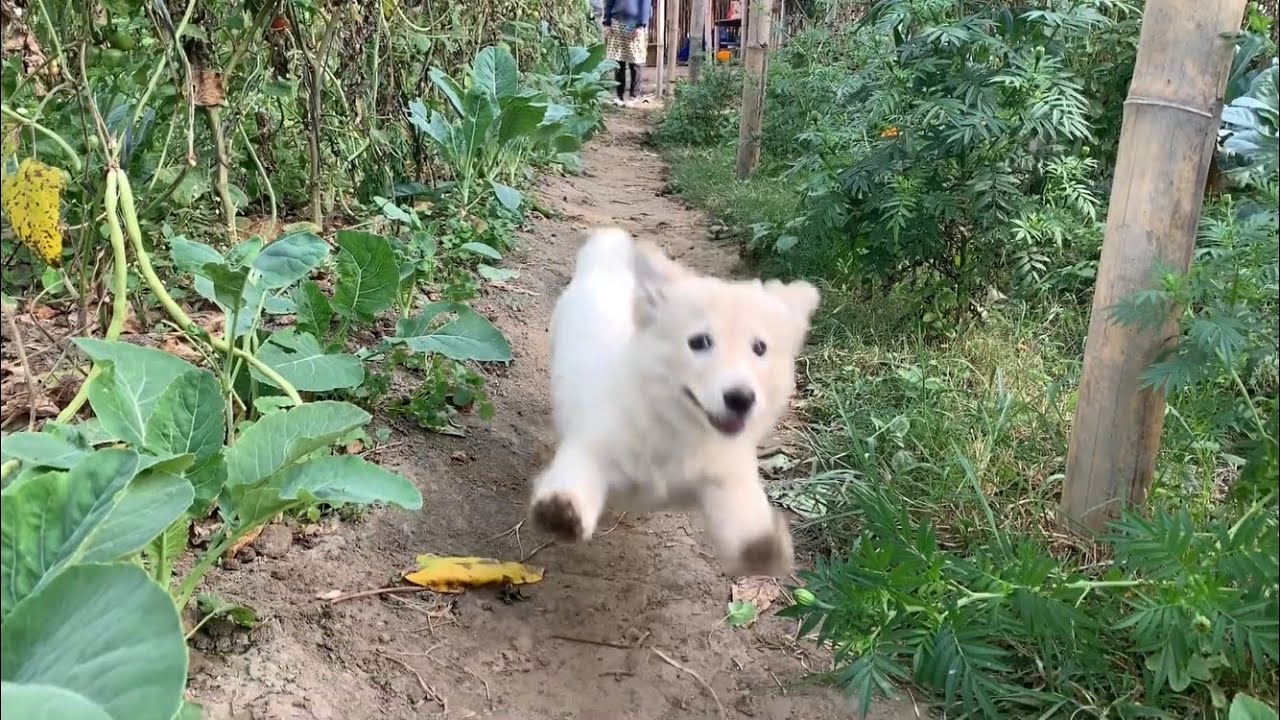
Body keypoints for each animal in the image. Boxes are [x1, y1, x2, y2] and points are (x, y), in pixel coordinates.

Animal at [527, 226, 819, 573]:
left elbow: (742, 517)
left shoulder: (725, 476)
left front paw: (763, 547)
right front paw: (560, 512)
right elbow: (579, 472)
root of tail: (606, 266)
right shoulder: (594, 442)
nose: (741, 398)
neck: (677, 428)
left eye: (759, 348)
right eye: (699, 342)